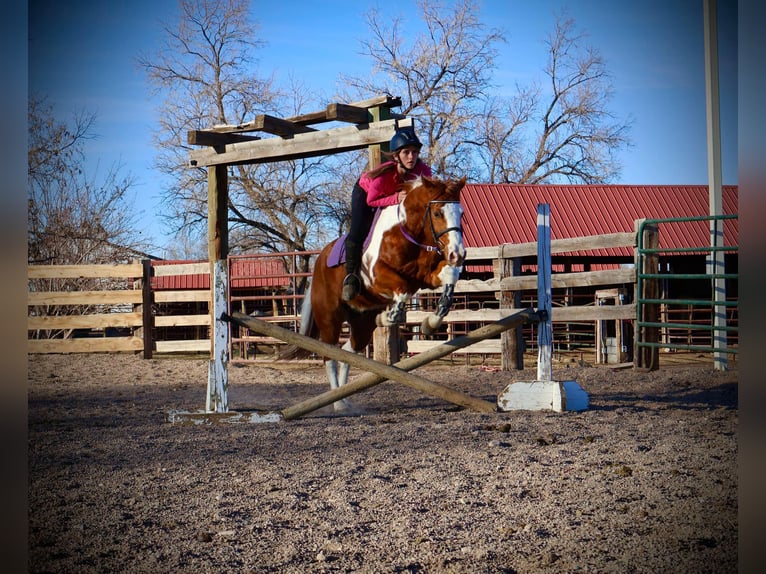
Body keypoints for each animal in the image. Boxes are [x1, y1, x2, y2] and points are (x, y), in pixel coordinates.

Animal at [296, 175, 467, 412]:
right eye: (437, 213)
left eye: (461, 213)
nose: (457, 254)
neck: (409, 233)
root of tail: (319, 262)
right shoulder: (378, 277)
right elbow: (402, 291)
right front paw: (389, 316)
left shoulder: (425, 277)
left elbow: (449, 276)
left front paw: (430, 322)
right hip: (330, 318)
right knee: (329, 355)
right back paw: (338, 404)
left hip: (361, 323)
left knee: (349, 351)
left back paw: (344, 398)